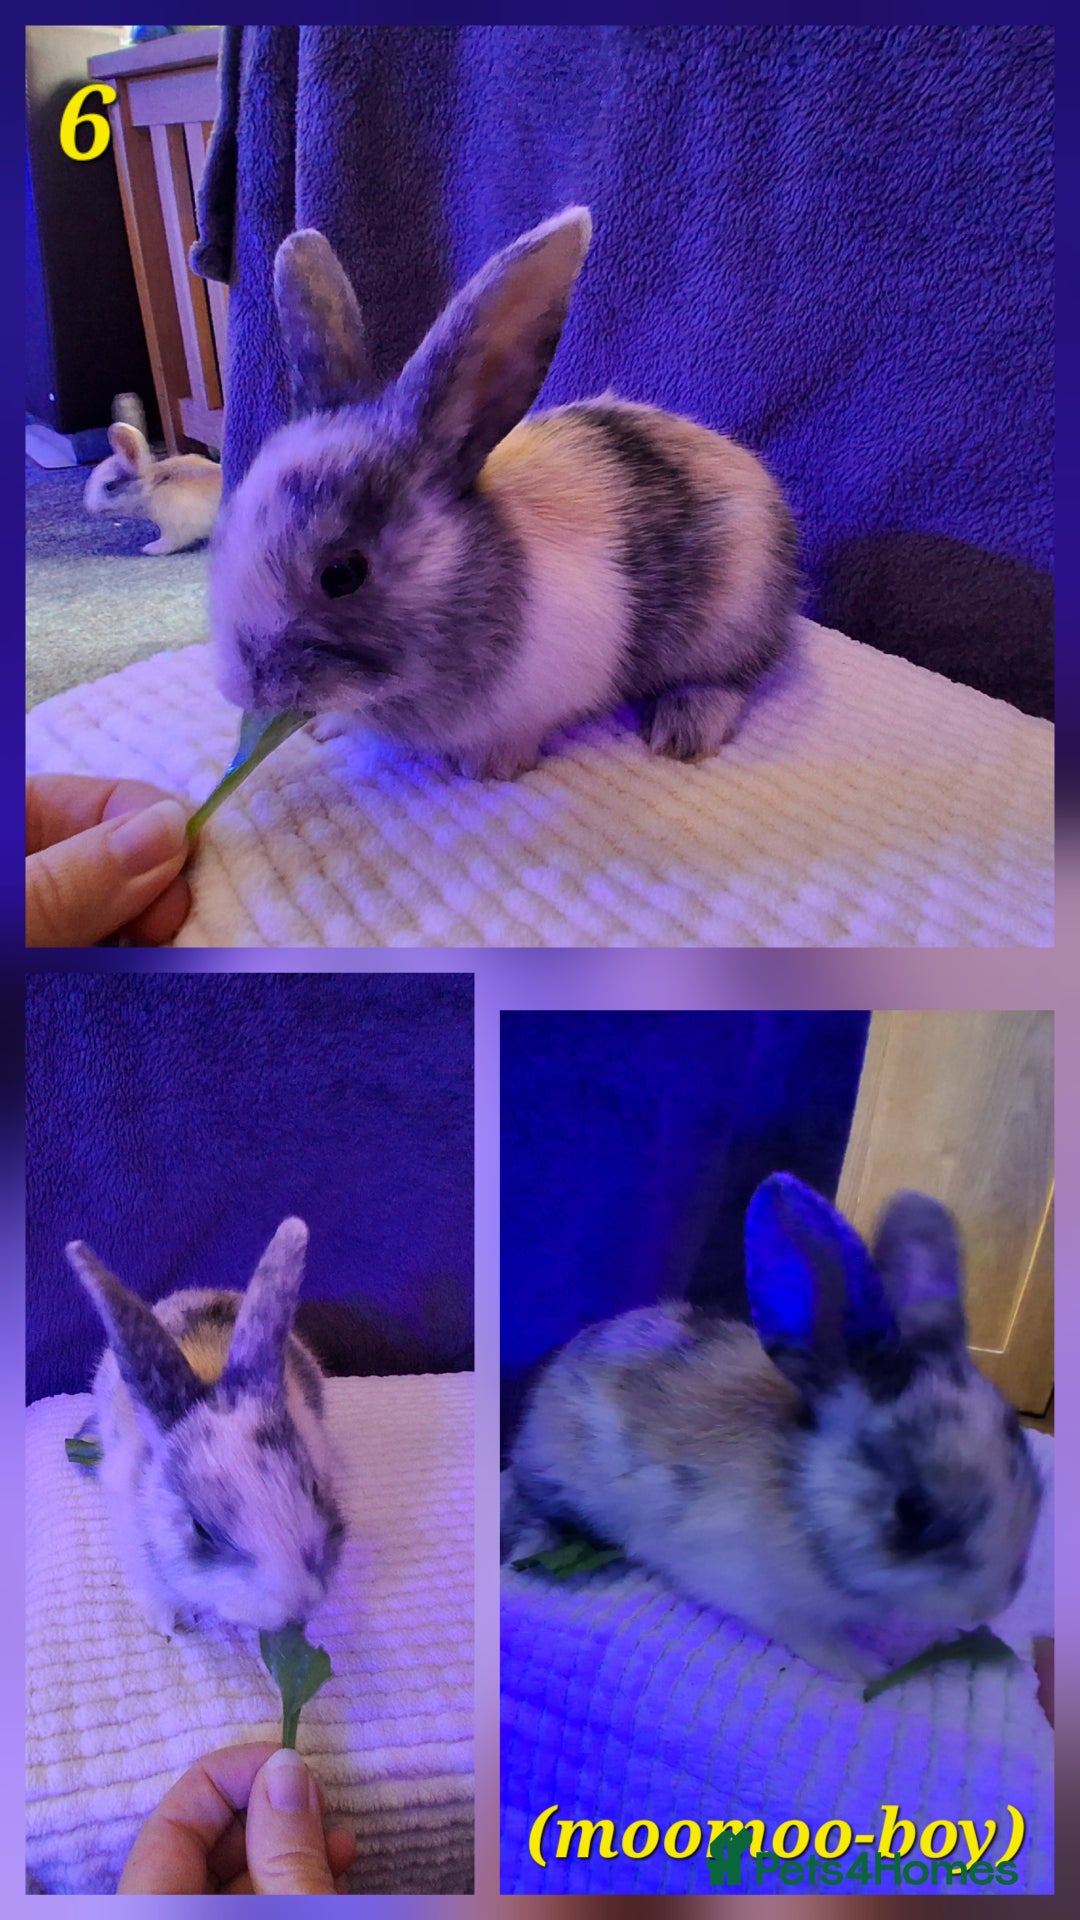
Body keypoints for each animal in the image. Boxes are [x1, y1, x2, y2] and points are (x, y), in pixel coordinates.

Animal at [83, 393, 222, 555]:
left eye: (110, 486)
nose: (89, 507)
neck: (153, 487)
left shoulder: (177, 530)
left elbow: (169, 543)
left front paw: (149, 548)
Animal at [209, 207, 799, 782]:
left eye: (343, 574)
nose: (243, 690)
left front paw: (490, 766)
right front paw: (323, 727)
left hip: (730, 620)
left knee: (735, 677)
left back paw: (685, 727)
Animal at [503, 1173, 1041, 1680]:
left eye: (1036, 1487)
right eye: (914, 1512)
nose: (993, 1602)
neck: (803, 1495)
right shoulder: (761, 1595)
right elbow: (812, 1638)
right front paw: (867, 1667)